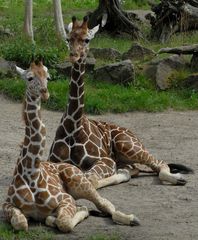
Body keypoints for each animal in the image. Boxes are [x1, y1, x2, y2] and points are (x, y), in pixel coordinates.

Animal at [2, 62, 140, 232]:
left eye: (48, 77)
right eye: (29, 78)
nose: (45, 93)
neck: (30, 173)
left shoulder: (65, 199)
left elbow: (64, 223)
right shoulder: (7, 204)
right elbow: (20, 223)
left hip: (81, 182)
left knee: (106, 205)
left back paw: (132, 218)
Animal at [48, 15, 192, 188]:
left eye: (87, 39)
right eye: (68, 38)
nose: (73, 55)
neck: (73, 125)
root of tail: (131, 133)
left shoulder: (106, 160)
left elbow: (90, 179)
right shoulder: (53, 161)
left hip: (127, 144)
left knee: (159, 163)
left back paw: (178, 178)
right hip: (124, 160)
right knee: (131, 171)